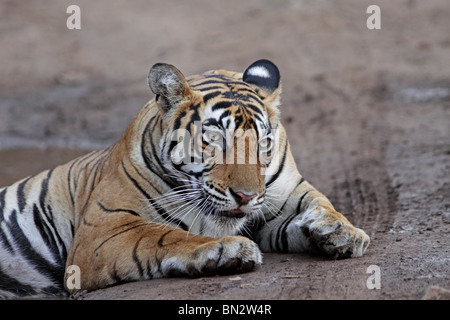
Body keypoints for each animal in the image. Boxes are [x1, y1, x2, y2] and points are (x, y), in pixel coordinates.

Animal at [0, 59, 370, 298]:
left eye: (264, 142)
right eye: (215, 138)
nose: (246, 197)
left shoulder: (284, 196)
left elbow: (320, 203)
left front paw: (343, 232)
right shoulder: (102, 232)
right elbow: (163, 235)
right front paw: (226, 249)